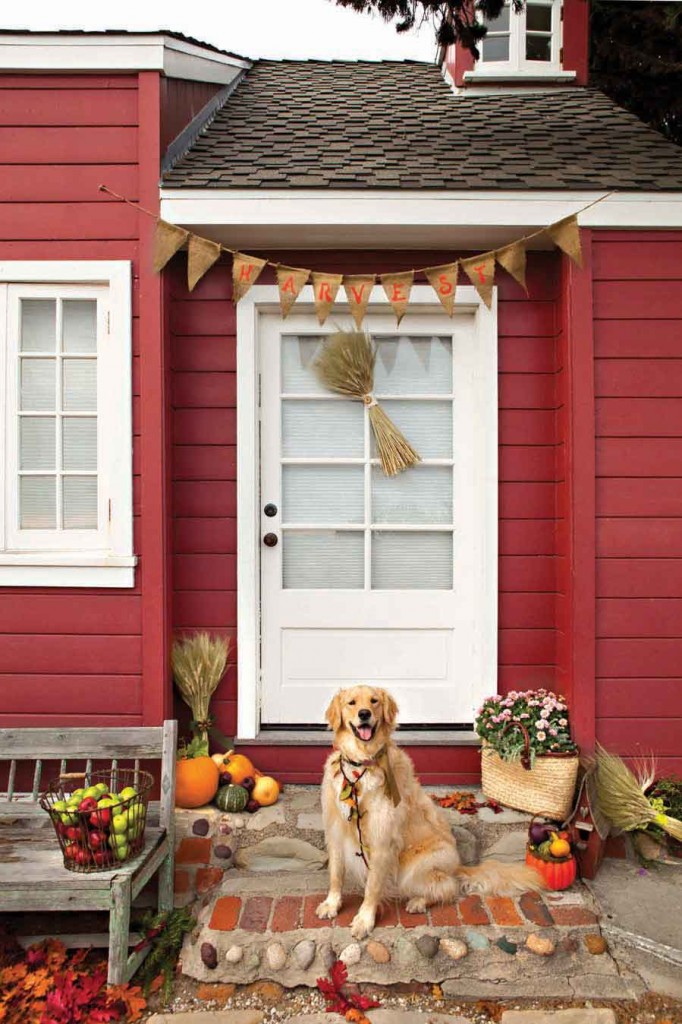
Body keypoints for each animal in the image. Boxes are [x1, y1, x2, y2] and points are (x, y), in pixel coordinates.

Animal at [315, 684, 544, 937]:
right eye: (352, 703)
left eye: (374, 701)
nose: (364, 714)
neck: (362, 763)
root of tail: (458, 866)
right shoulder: (336, 831)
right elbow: (336, 874)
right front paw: (332, 903)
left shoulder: (381, 839)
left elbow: (372, 887)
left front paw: (365, 919)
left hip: (414, 869)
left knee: (448, 887)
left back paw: (419, 901)